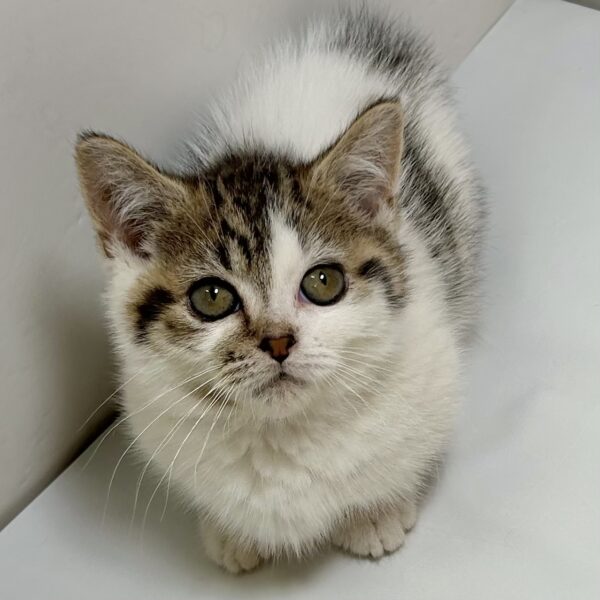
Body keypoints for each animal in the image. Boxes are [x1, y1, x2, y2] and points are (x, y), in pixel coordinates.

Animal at [76, 8, 484, 573]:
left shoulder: (430, 364)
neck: (282, 430)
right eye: (211, 298)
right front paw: (232, 534)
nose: (278, 341)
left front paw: (376, 514)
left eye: (323, 283)